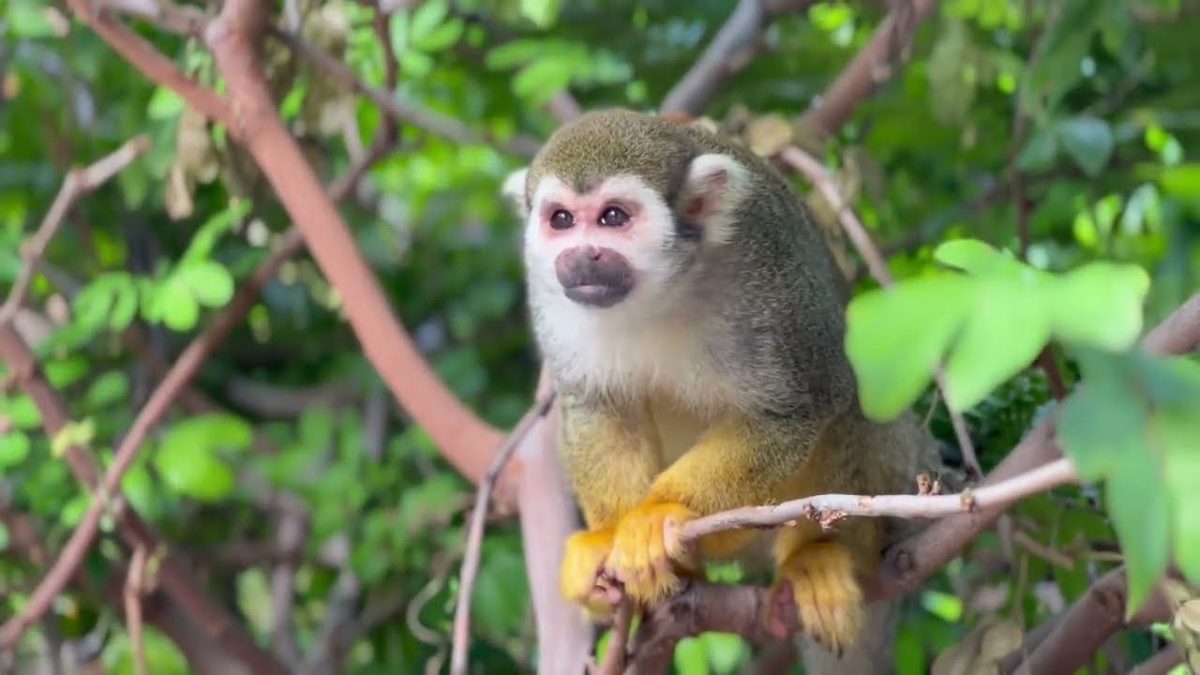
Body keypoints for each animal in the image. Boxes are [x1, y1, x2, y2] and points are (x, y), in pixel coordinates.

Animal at [501, 108, 942, 673]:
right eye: (561, 220)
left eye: (613, 217)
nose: (582, 257)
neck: (662, 289)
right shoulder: (551, 296)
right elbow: (598, 408)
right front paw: (606, 540)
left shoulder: (772, 282)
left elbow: (802, 404)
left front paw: (658, 515)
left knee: (851, 397)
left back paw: (816, 554)